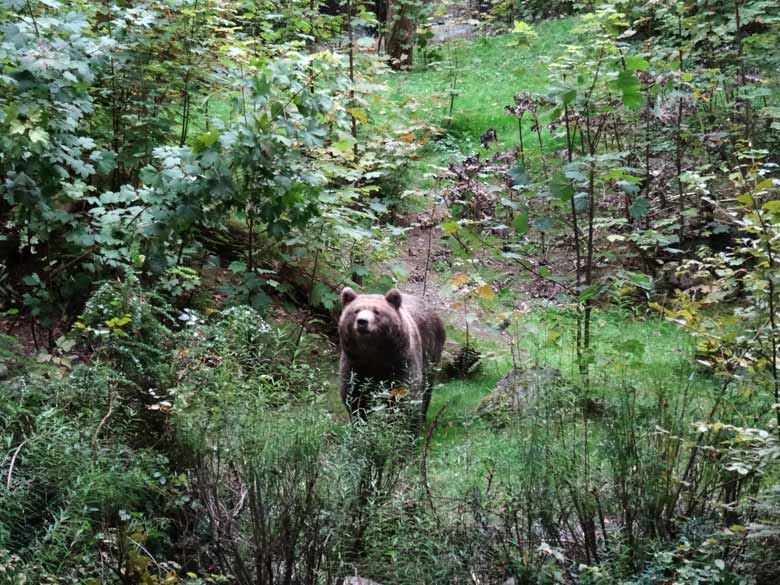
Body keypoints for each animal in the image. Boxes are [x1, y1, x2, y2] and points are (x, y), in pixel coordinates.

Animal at [340, 288, 444, 428]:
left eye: (376, 311)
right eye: (356, 310)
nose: (362, 321)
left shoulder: (401, 363)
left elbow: (407, 398)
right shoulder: (355, 364)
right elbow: (355, 398)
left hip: (431, 351)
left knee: (427, 387)